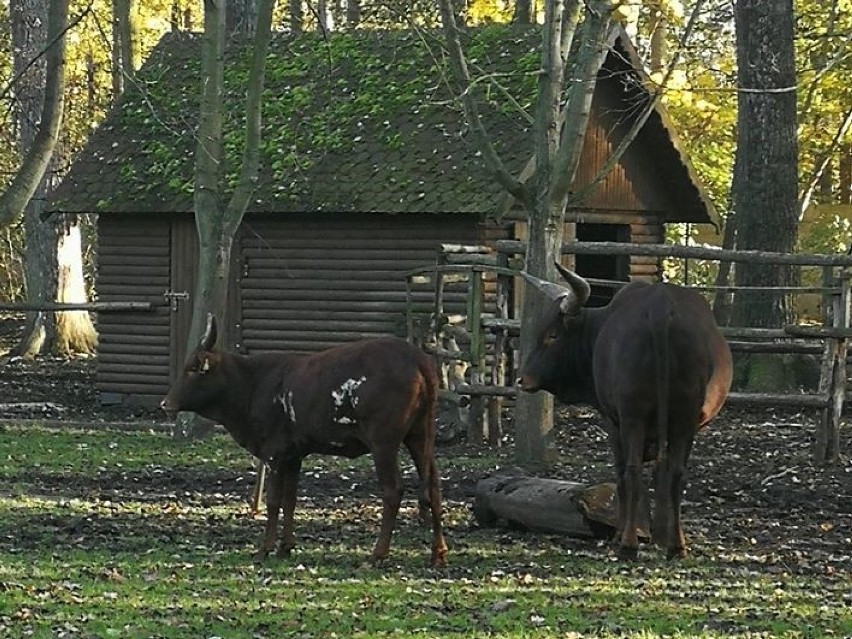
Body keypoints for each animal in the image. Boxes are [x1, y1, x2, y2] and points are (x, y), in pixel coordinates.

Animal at [162, 312, 450, 568]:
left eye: (192, 369)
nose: (166, 403)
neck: (252, 384)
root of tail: (416, 358)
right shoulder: (294, 455)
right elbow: (290, 499)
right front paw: (285, 547)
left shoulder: (274, 453)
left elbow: (274, 501)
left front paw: (264, 549)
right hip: (419, 436)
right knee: (434, 485)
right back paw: (437, 553)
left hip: (384, 443)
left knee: (393, 490)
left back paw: (377, 555)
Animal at [520, 264, 732, 560]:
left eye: (552, 335)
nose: (522, 379)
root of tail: (660, 308)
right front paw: (659, 535)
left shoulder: (613, 421)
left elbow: (622, 475)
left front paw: (624, 533)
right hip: (685, 418)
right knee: (675, 472)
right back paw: (676, 545)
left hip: (634, 415)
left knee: (631, 472)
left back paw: (628, 544)